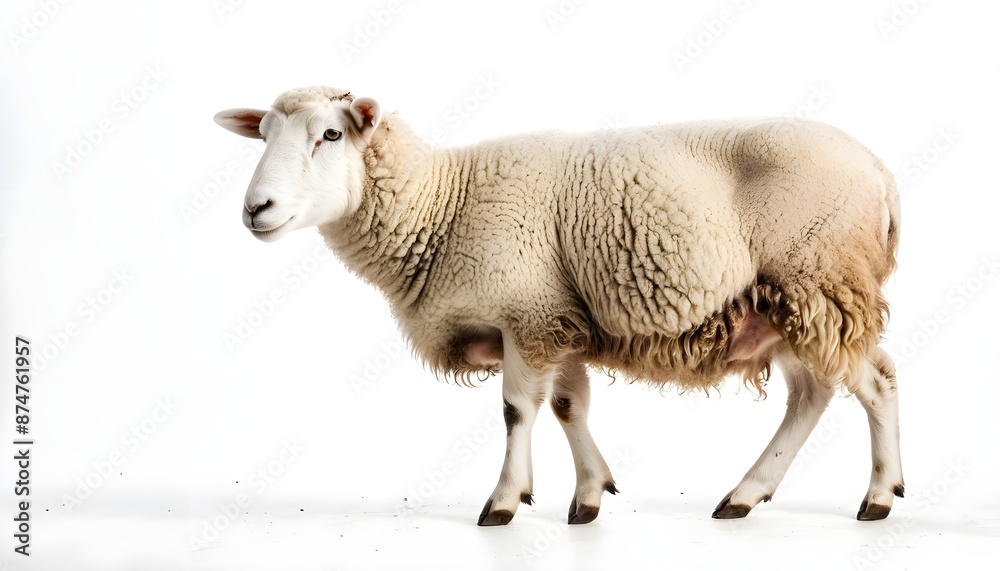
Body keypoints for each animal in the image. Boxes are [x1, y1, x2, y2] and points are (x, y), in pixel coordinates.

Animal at [214, 86, 903, 526]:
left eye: (330, 134)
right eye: (263, 136)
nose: (255, 209)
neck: (441, 204)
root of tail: (879, 172)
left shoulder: (528, 312)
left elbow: (517, 410)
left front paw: (503, 501)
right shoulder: (557, 314)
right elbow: (570, 405)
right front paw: (590, 495)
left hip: (820, 278)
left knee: (875, 381)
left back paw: (878, 496)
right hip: (778, 306)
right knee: (811, 393)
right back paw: (746, 493)